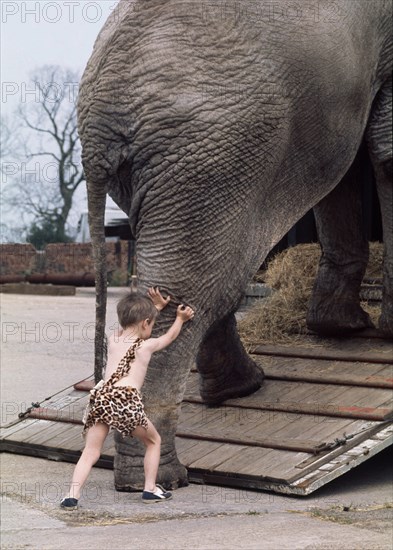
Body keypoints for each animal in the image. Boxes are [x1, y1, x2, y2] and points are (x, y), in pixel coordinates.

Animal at [77, 0, 392, 492]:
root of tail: (97, 129)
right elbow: (383, 149)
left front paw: (341, 328)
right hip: (208, 157)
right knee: (193, 281)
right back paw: (160, 476)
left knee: (211, 276)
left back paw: (239, 390)